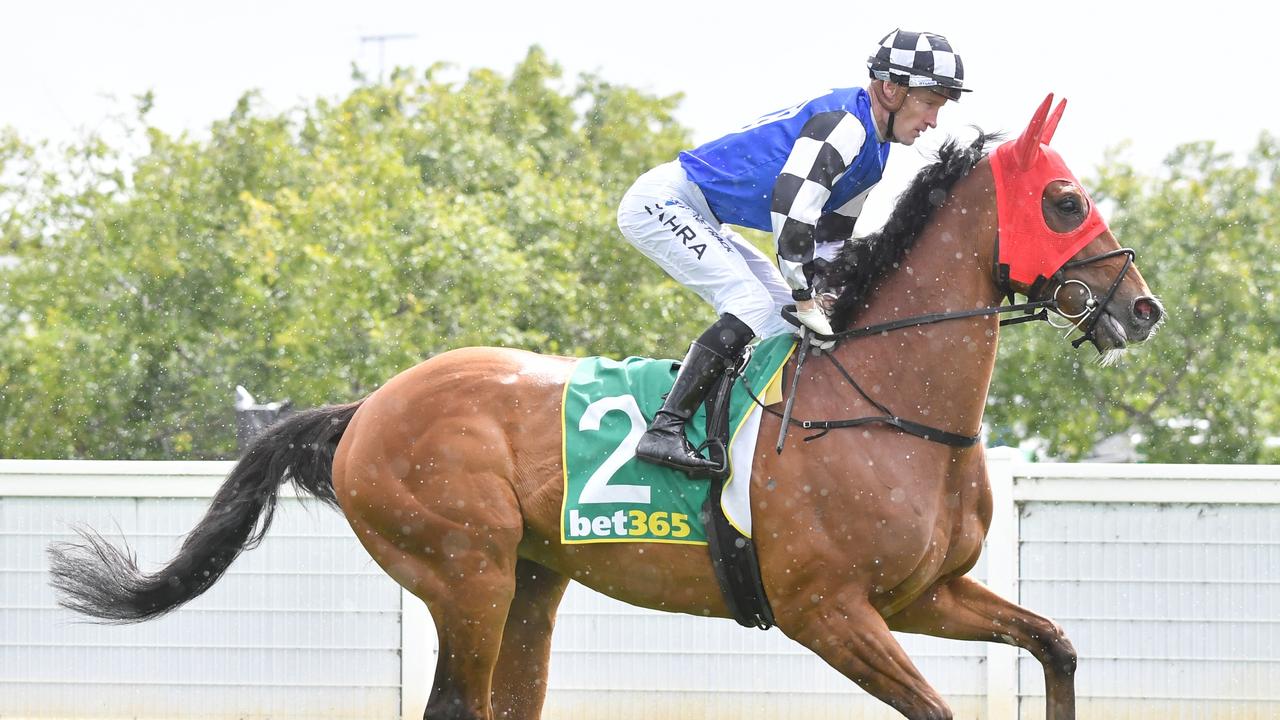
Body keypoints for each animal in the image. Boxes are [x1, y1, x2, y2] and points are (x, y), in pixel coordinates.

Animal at [55, 96, 1167, 717]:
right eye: (1065, 199)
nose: (1140, 307)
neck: (881, 404)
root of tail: (368, 408)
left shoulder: (920, 596)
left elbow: (1057, 647)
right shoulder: (828, 611)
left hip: (529, 584)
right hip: (462, 575)